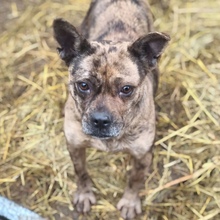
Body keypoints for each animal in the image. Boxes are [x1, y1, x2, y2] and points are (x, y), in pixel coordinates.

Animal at [53, 0, 170, 218]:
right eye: (83, 85)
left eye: (126, 89)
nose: (100, 120)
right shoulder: (75, 145)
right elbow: (81, 172)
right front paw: (84, 194)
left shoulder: (142, 156)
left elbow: (134, 181)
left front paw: (130, 202)